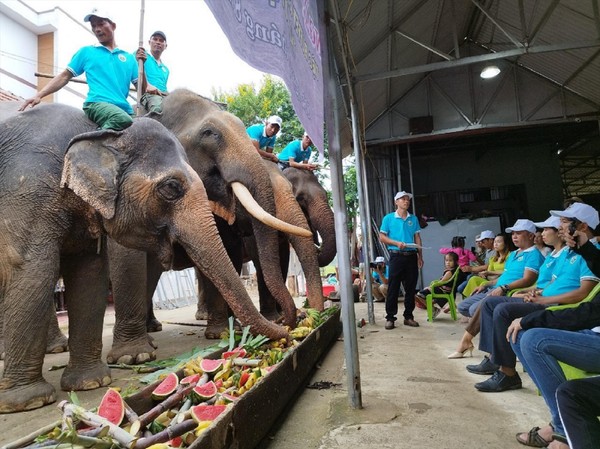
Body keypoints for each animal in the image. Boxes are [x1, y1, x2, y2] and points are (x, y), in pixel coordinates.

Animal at [0, 103, 288, 412]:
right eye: (171, 187)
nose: (289, 323)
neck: (97, 131)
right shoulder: (27, 191)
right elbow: (32, 270)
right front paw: (28, 401)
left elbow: (89, 275)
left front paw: (90, 383)